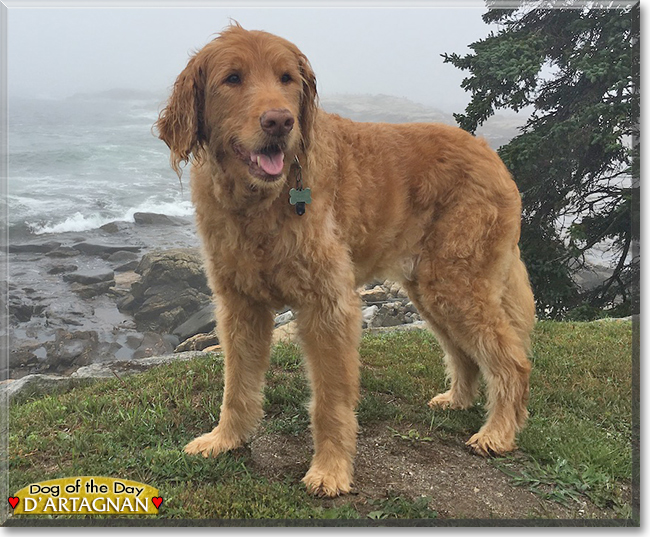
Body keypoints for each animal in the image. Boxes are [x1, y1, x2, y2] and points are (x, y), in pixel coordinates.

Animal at [154, 24, 536, 494]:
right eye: (232, 78)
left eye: (286, 78)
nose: (280, 122)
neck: (264, 201)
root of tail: (491, 153)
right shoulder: (241, 306)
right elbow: (237, 386)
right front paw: (227, 439)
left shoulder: (328, 307)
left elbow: (330, 401)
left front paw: (331, 469)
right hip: (430, 288)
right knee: (464, 352)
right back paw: (457, 400)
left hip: (457, 282)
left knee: (512, 361)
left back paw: (497, 433)